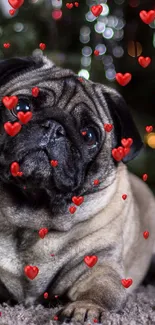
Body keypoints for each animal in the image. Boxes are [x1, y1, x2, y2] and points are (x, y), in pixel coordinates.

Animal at [0, 53, 155, 322]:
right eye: (21, 108)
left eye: (89, 135)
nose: (54, 127)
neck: (32, 213)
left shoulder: (99, 265)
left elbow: (100, 292)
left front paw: (85, 308)